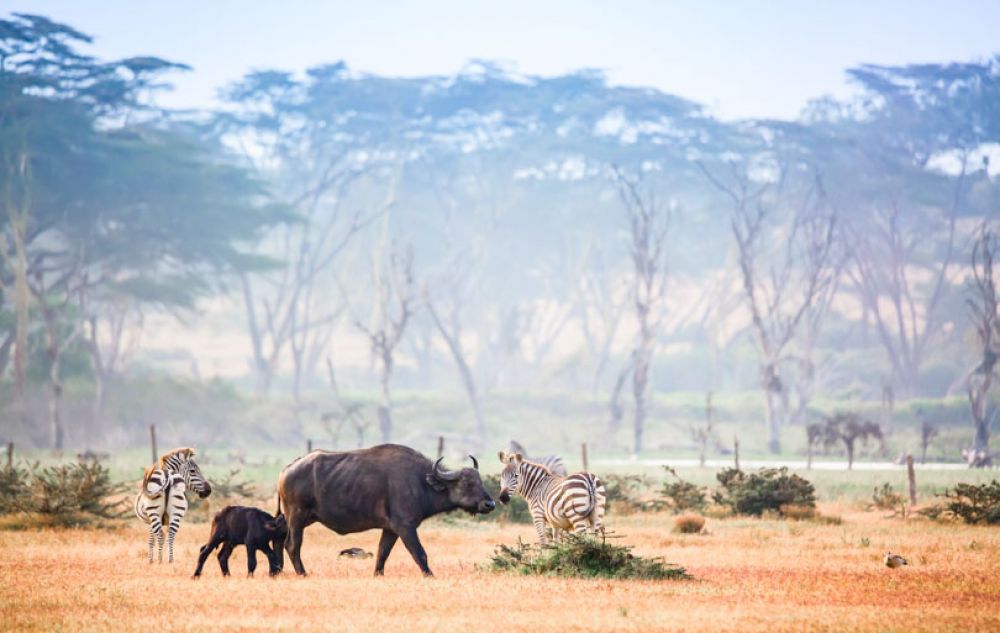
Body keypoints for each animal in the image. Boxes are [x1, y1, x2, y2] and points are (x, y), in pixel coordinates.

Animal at [276, 442, 494, 576]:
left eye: (480, 481)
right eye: (467, 484)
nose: (490, 504)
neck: (420, 482)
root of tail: (287, 469)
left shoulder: (390, 529)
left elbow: (382, 553)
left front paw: (377, 575)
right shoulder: (405, 527)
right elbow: (419, 553)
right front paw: (430, 575)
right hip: (296, 518)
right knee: (293, 545)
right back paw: (302, 573)